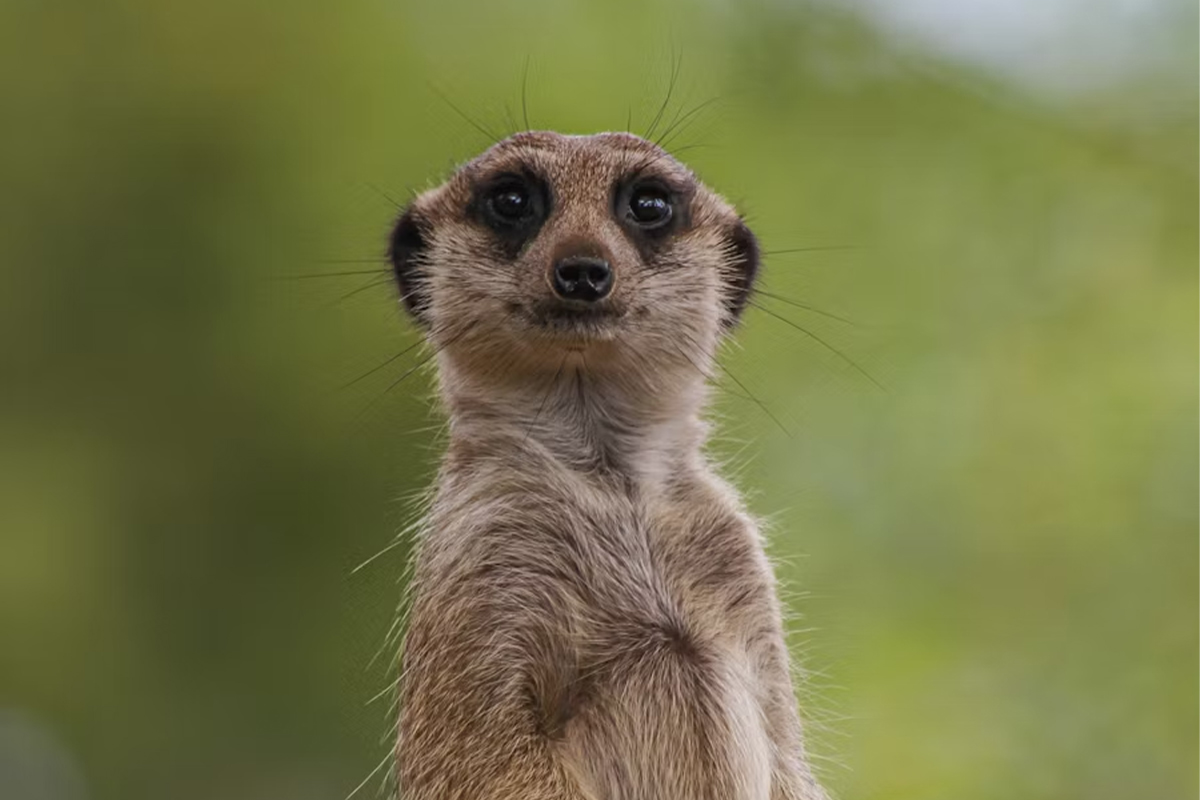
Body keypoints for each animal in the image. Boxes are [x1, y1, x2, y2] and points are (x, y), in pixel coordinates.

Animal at [387, 131, 827, 800]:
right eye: (511, 200)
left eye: (649, 204)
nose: (582, 271)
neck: (613, 484)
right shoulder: (478, 561)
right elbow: (479, 758)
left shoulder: (739, 560)